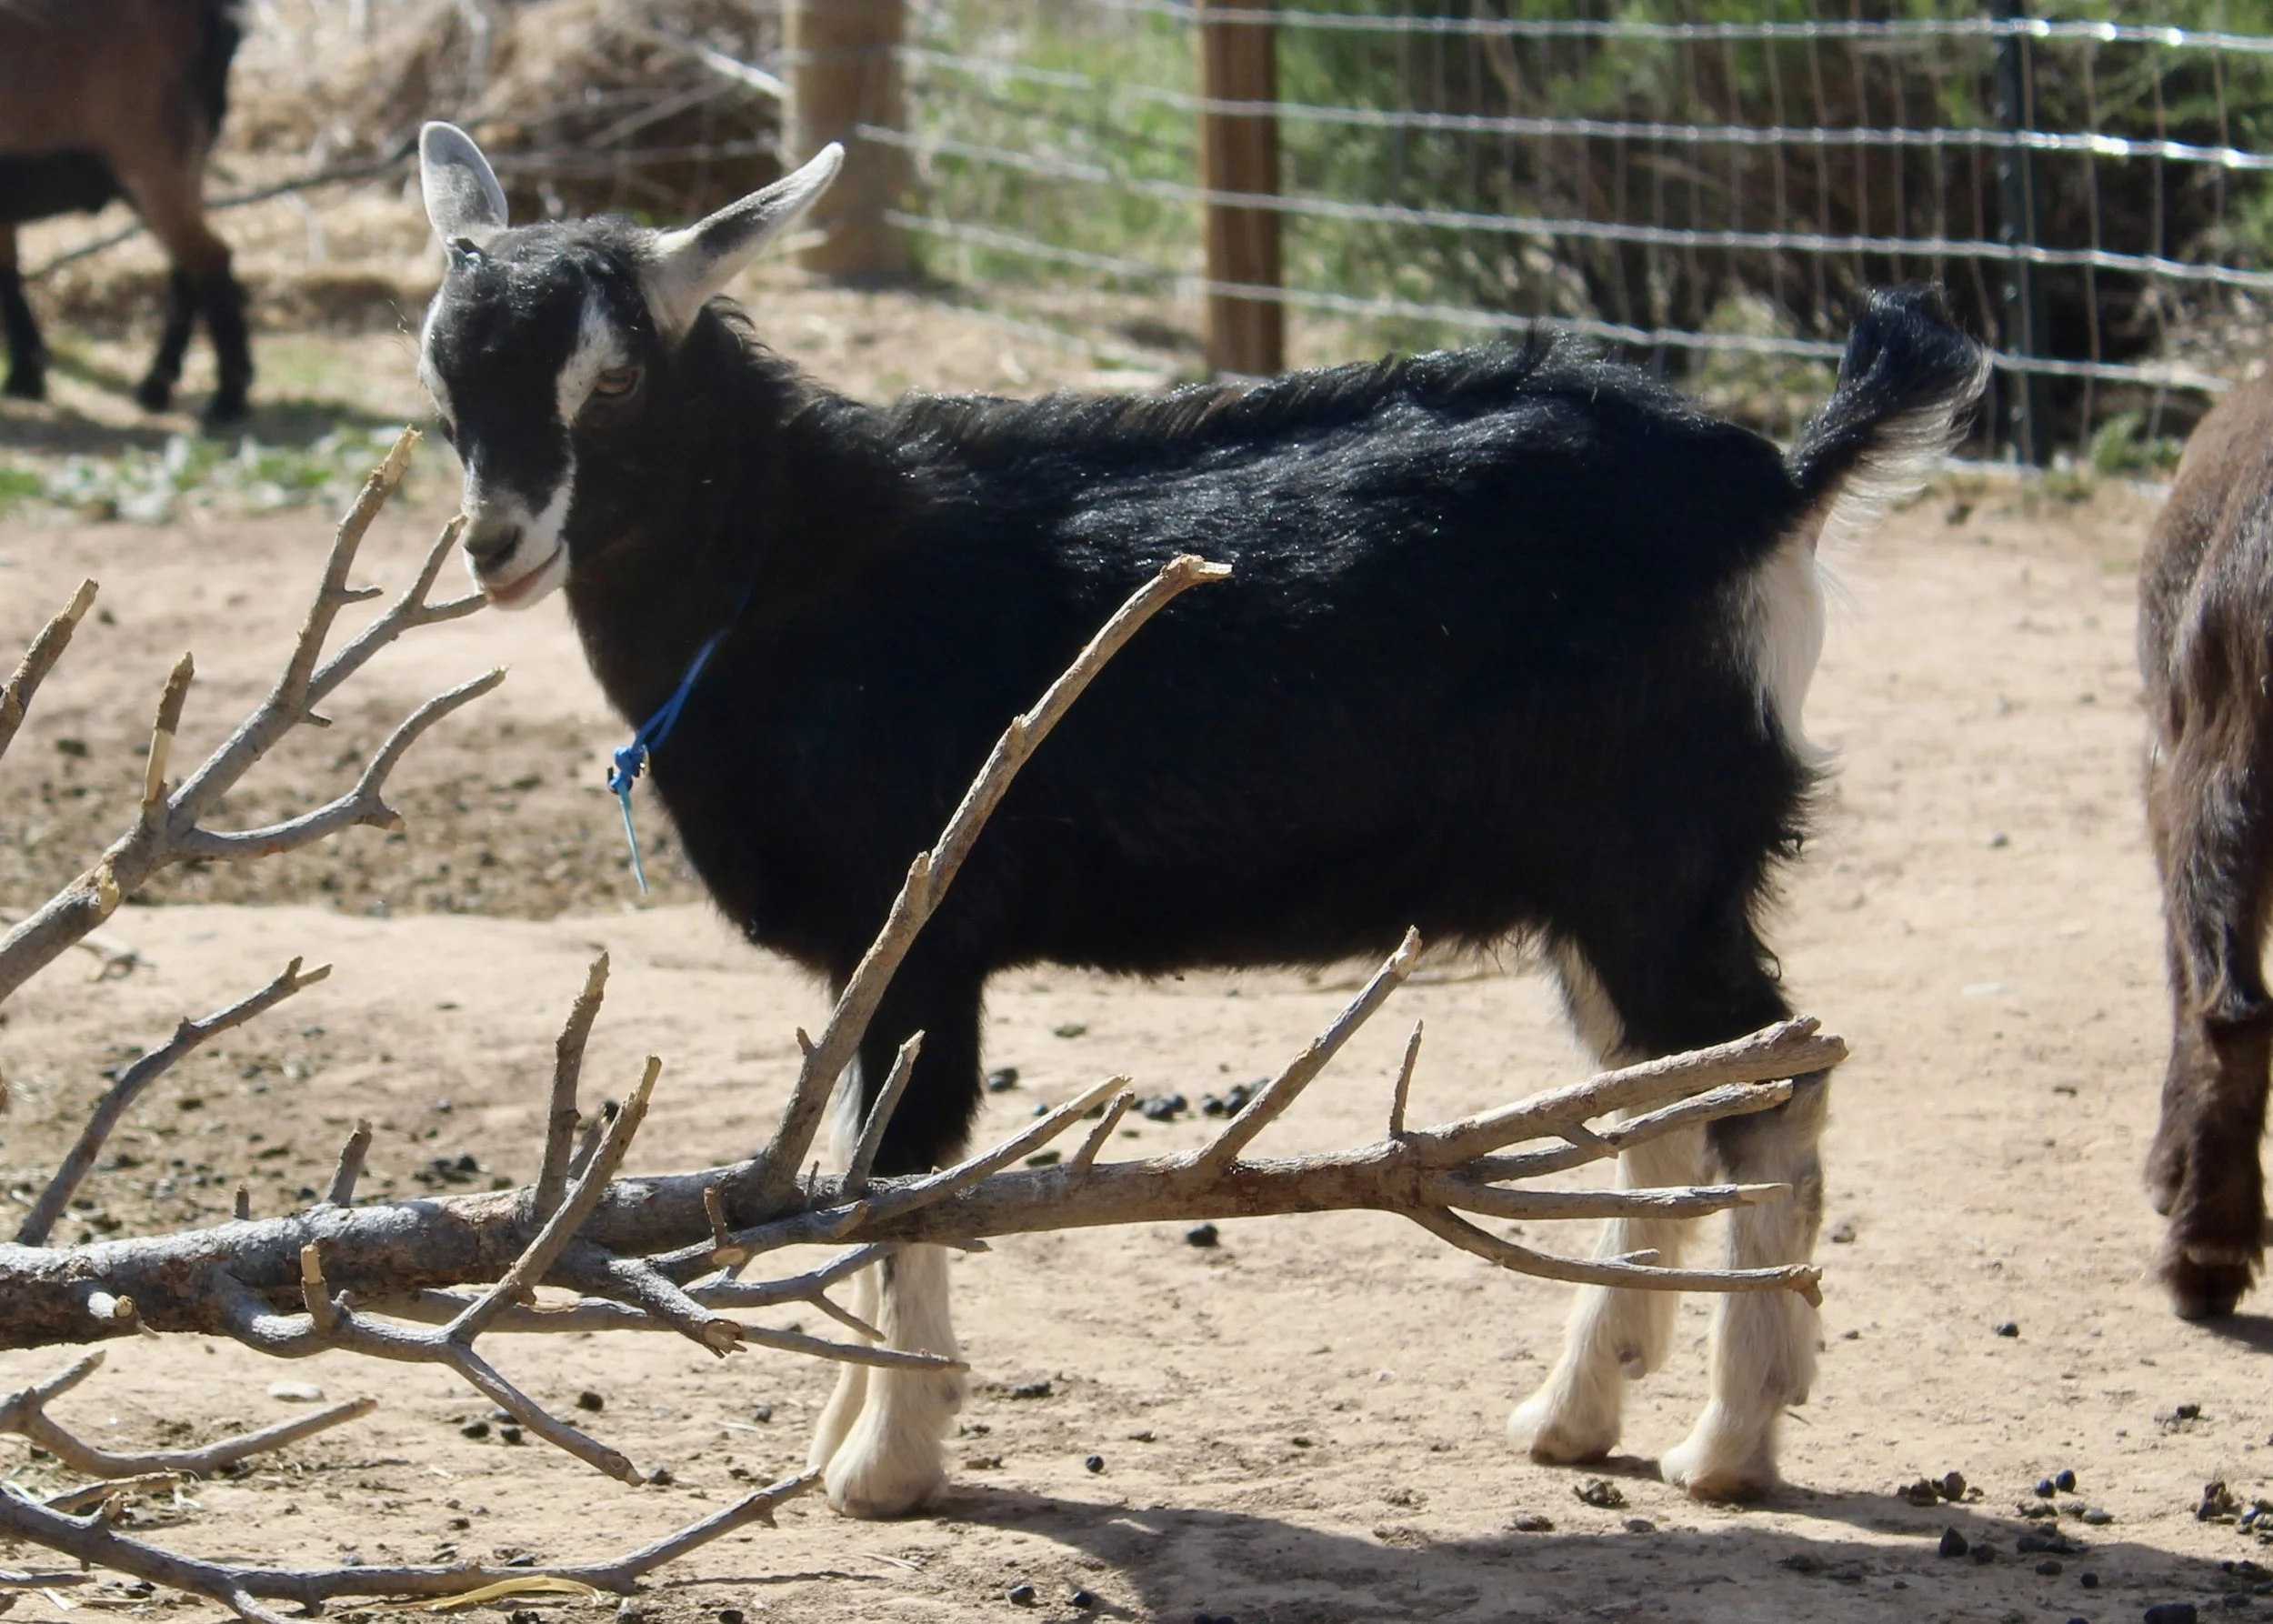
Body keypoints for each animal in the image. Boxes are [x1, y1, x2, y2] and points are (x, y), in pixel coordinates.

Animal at [0, 0, 253, 423]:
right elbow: (8, 275)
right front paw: (25, 379)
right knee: (187, 266)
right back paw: (157, 388)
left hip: (153, 158)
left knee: (209, 258)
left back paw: (226, 400)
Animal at [413, 121, 1984, 1517]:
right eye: (443, 370)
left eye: (616, 377)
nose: (498, 542)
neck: (793, 564)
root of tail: (1778, 488)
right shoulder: (872, 961)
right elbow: (854, 1172)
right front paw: (840, 1430)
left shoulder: (925, 929)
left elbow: (904, 1176)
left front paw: (888, 1464)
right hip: (1601, 884)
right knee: (1665, 1088)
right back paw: (1579, 1409)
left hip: (1659, 855)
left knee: (1769, 1079)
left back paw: (1731, 1440)